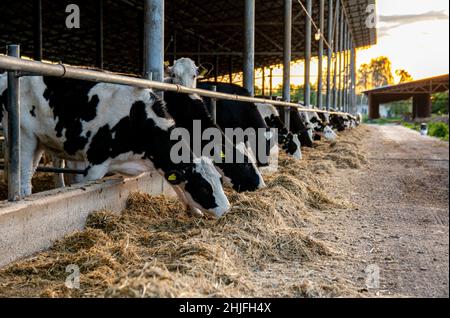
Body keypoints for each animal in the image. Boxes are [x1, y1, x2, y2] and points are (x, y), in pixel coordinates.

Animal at [0, 73, 230, 217]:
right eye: (204, 186)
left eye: (219, 179)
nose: (227, 209)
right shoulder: (96, 162)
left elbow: (175, 184)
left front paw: (193, 210)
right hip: (24, 136)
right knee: (23, 179)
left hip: (40, 141)